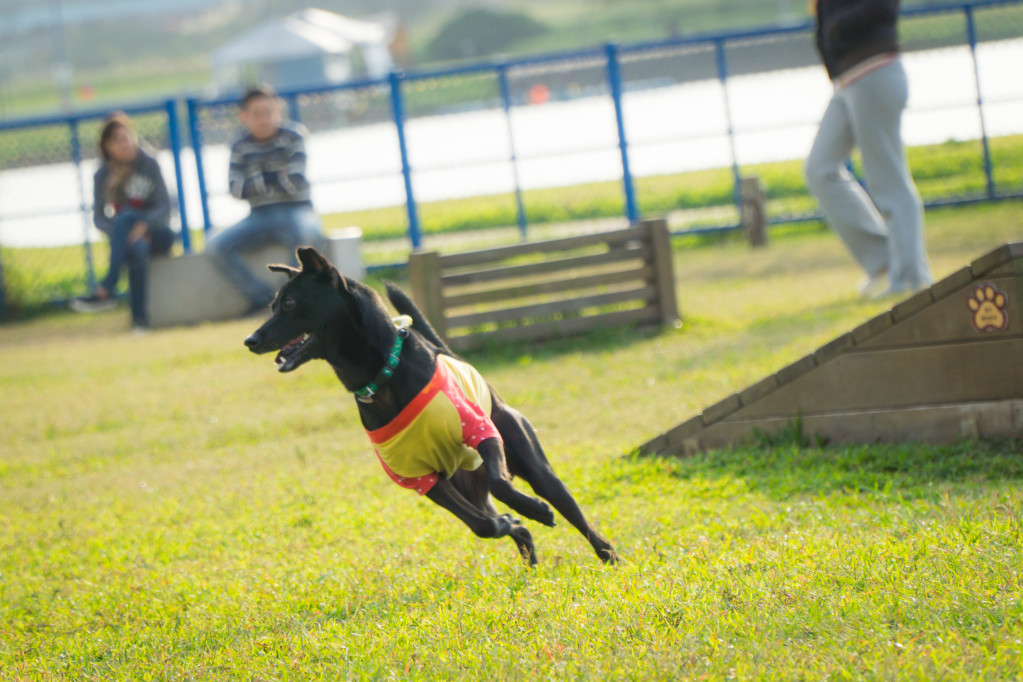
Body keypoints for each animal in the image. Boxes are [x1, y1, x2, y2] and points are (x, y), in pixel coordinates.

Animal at [245, 248, 613, 568]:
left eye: (290, 303)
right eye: (272, 305)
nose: (250, 340)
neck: (383, 377)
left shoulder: (482, 432)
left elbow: (501, 484)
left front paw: (535, 510)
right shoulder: (421, 478)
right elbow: (483, 526)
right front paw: (510, 522)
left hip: (529, 457)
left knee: (569, 509)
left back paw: (605, 553)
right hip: (467, 484)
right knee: (496, 518)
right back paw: (529, 557)